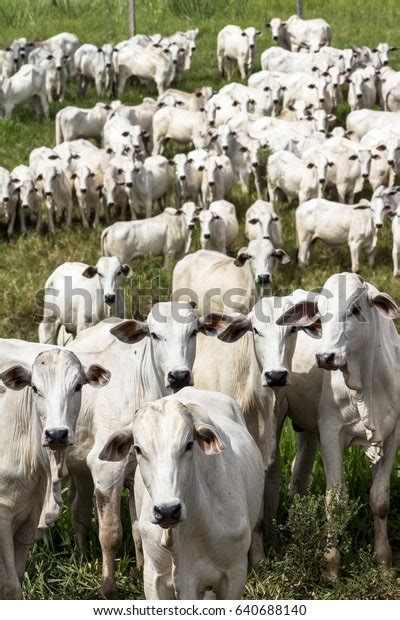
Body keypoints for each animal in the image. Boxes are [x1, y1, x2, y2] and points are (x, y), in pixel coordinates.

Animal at [0, 346, 110, 600]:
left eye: (78, 386)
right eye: (35, 388)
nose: (56, 434)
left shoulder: (27, 521)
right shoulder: (2, 519)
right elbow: (10, 587)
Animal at [280, 274, 400, 580]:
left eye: (355, 310)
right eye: (320, 315)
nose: (325, 357)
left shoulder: (393, 435)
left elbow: (380, 499)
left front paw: (384, 562)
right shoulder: (331, 432)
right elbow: (335, 503)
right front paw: (331, 565)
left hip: (308, 431)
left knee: (299, 473)